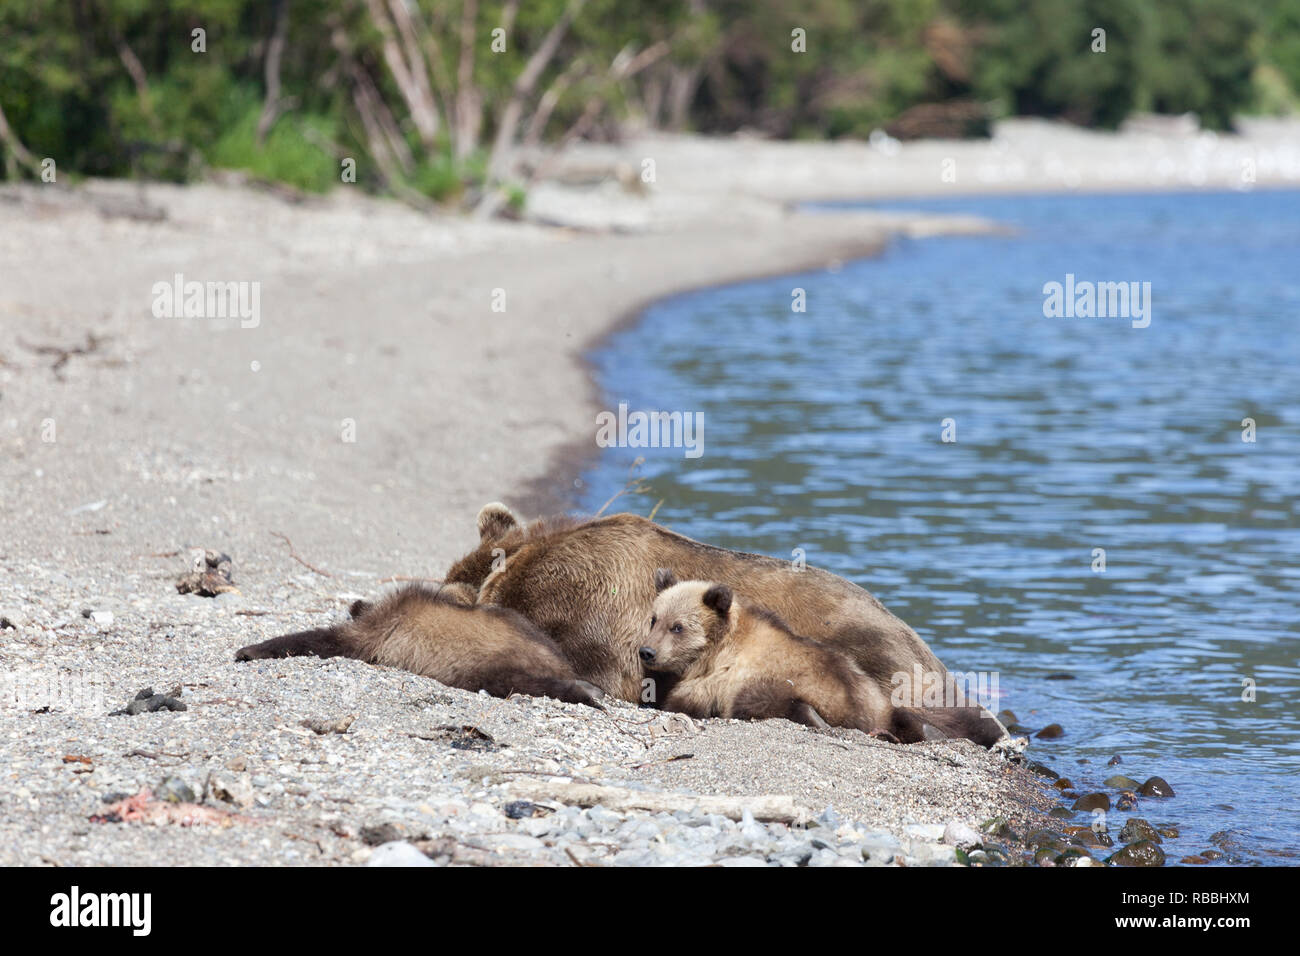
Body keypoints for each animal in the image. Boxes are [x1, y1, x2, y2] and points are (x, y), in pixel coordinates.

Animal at [236, 580, 600, 707]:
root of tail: (560, 662)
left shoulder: (379, 631)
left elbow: (324, 638)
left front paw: (250, 650)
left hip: (490, 663)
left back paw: (586, 693)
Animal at [639, 572, 925, 743]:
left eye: (677, 626)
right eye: (654, 619)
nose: (647, 651)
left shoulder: (717, 680)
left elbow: (680, 700)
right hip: (870, 693)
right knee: (902, 714)